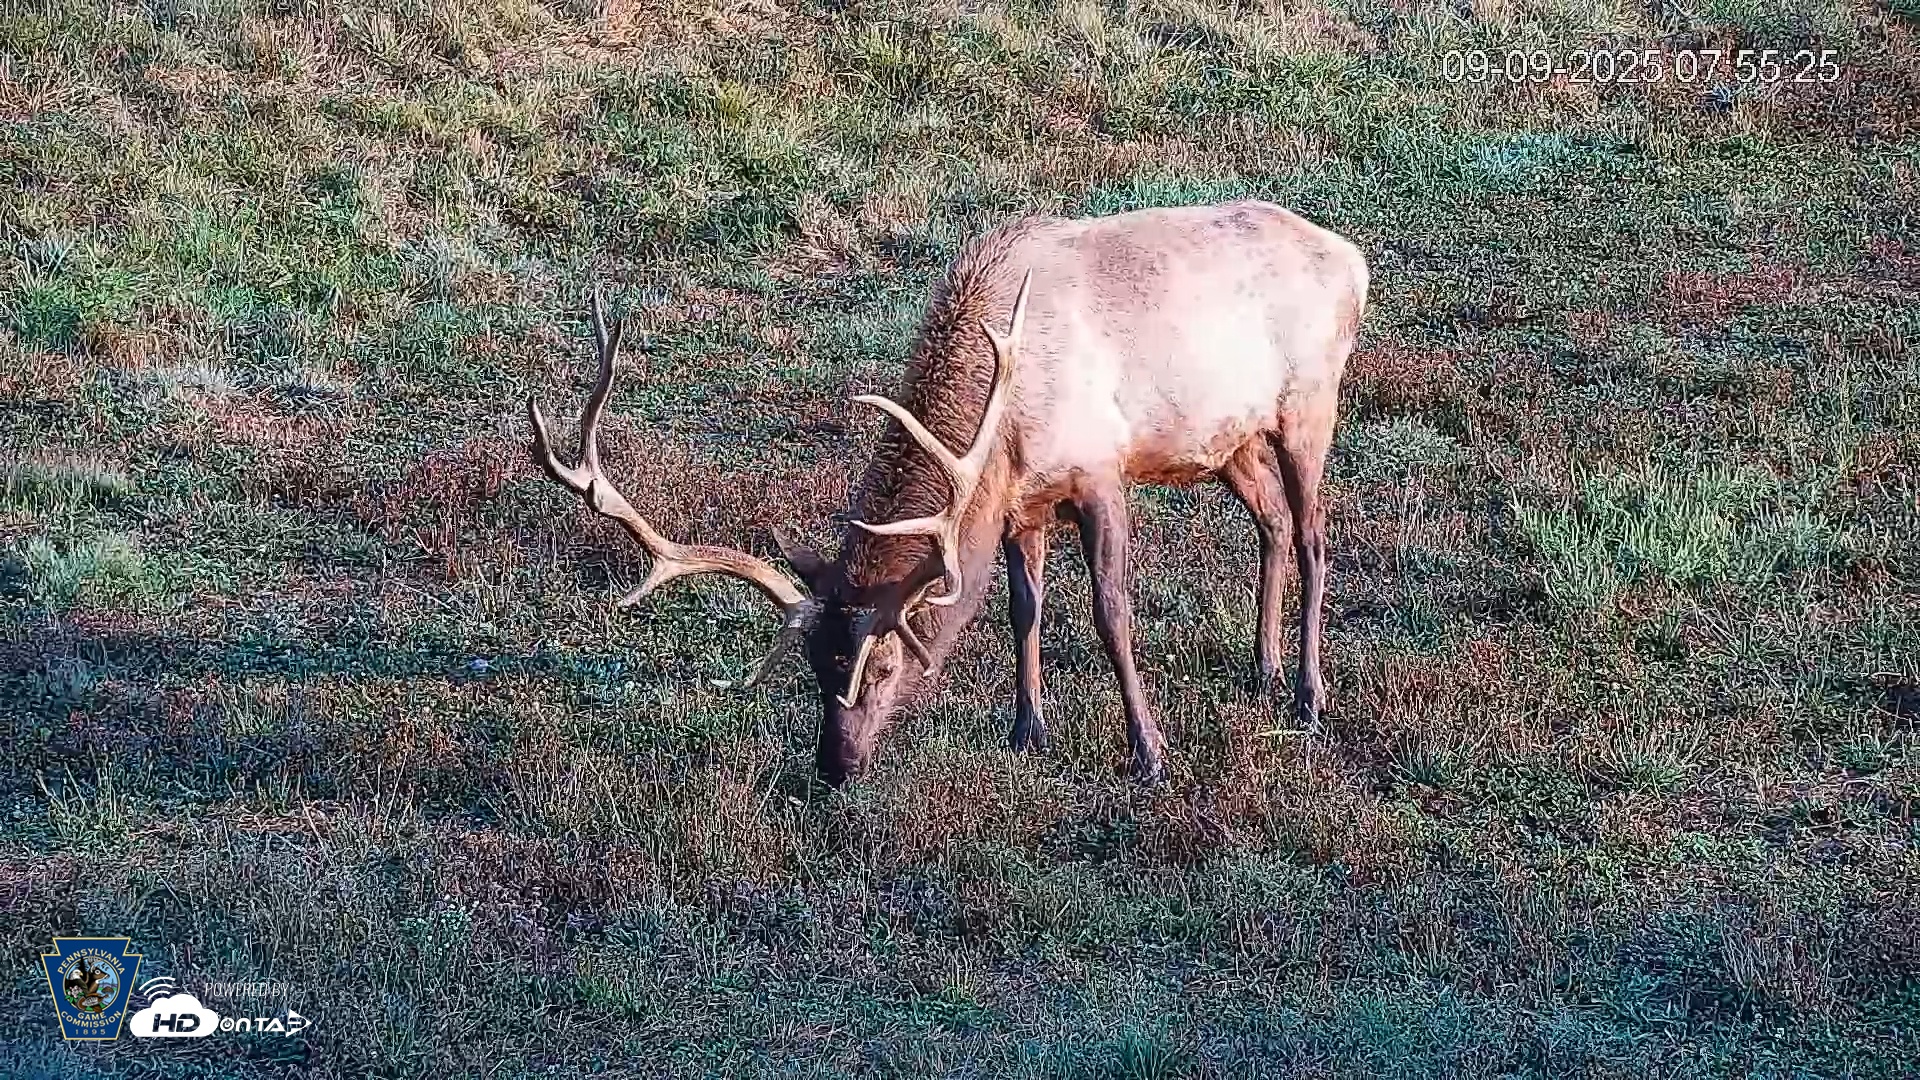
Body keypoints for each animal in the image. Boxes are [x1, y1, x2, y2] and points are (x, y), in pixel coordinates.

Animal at [528, 199, 1369, 786]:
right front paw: (1027, 730)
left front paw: (1149, 751)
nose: (833, 768)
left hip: (1310, 406)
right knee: (1270, 523)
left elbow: (1111, 614)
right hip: (1230, 439)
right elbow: (1023, 607)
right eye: (814, 667)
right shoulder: (1020, 500)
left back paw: (1309, 695)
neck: (1002, 425)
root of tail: (1353, 259)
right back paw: (1263, 670)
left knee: (1313, 535)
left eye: (883, 667)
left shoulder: (1099, 470)